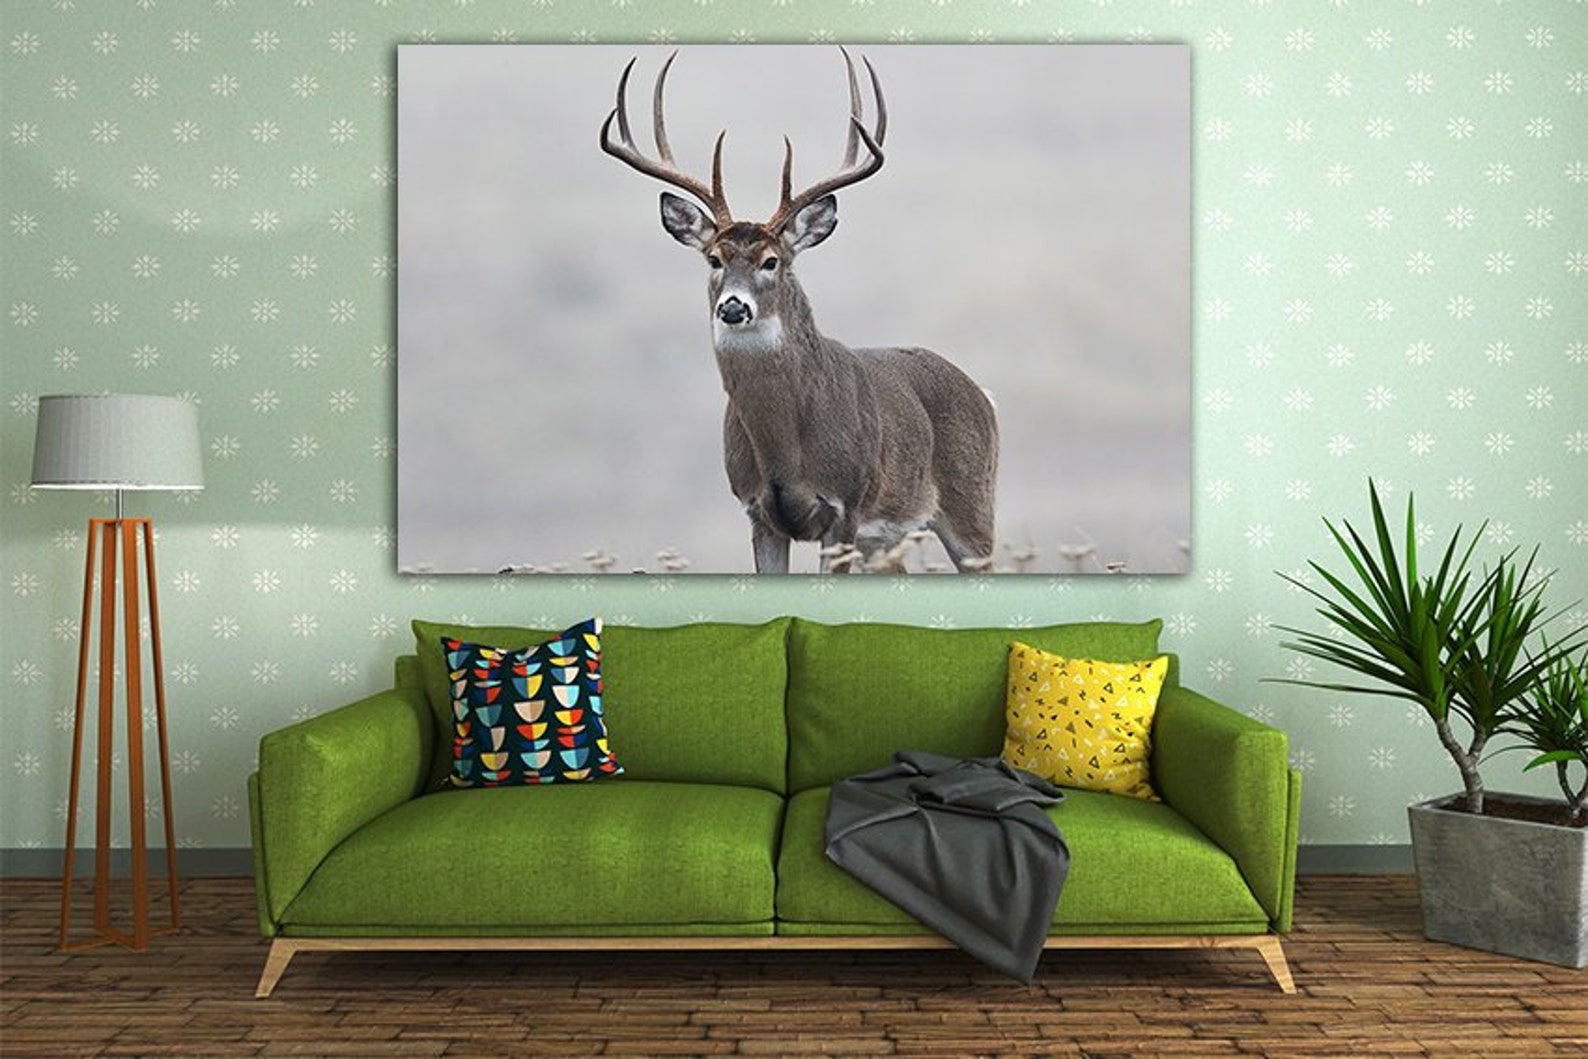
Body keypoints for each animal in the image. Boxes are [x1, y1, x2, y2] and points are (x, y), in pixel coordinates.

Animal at [600, 50, 998, 574]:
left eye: (772, 261)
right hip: (886, 539)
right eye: (714, 259)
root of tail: (982, 394)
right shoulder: (758, 513)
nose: (733, 306)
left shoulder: (845, 507)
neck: (786, 449)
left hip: (972, 506)